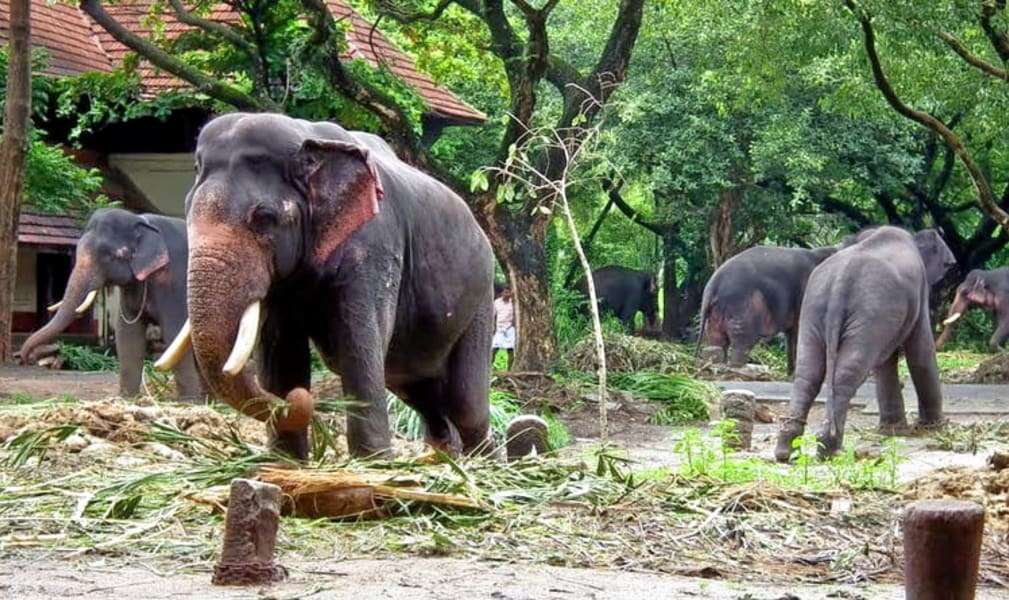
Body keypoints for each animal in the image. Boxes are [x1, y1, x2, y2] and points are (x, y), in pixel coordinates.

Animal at [19, 208, 205, 401]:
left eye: (109, 256)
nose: (26, 359)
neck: (141, 221)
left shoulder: (172, 283)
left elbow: (173, 331)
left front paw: (188, 402)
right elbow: (127, 333)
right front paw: (127, 398)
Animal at [155, 113, 495, 460]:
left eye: (264, 217)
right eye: (188, 210)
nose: (299, 397)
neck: (308, 139)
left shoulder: (374, 246)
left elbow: (358, 340)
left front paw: (374, 463)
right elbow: (282, 349)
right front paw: (286, 462)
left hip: (481, 299)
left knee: (466, 403)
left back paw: (483, 463)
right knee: (424, 395)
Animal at [697, 245, 837, 373]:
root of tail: (712, 285)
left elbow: (791, 334)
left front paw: (790, 373)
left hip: (716, 313)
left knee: (717, 342)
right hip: (742, 309)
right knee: (741, 342)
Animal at [774, 227, 957, 462]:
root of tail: (840, 281)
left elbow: (886, 362)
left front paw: (893, 431)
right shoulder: (919, 292)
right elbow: (921, 352)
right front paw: (934, 428)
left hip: (816, 308)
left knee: (808, 373)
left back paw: (786, 452)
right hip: (868, 310)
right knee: (847, 374)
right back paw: (830, 449)